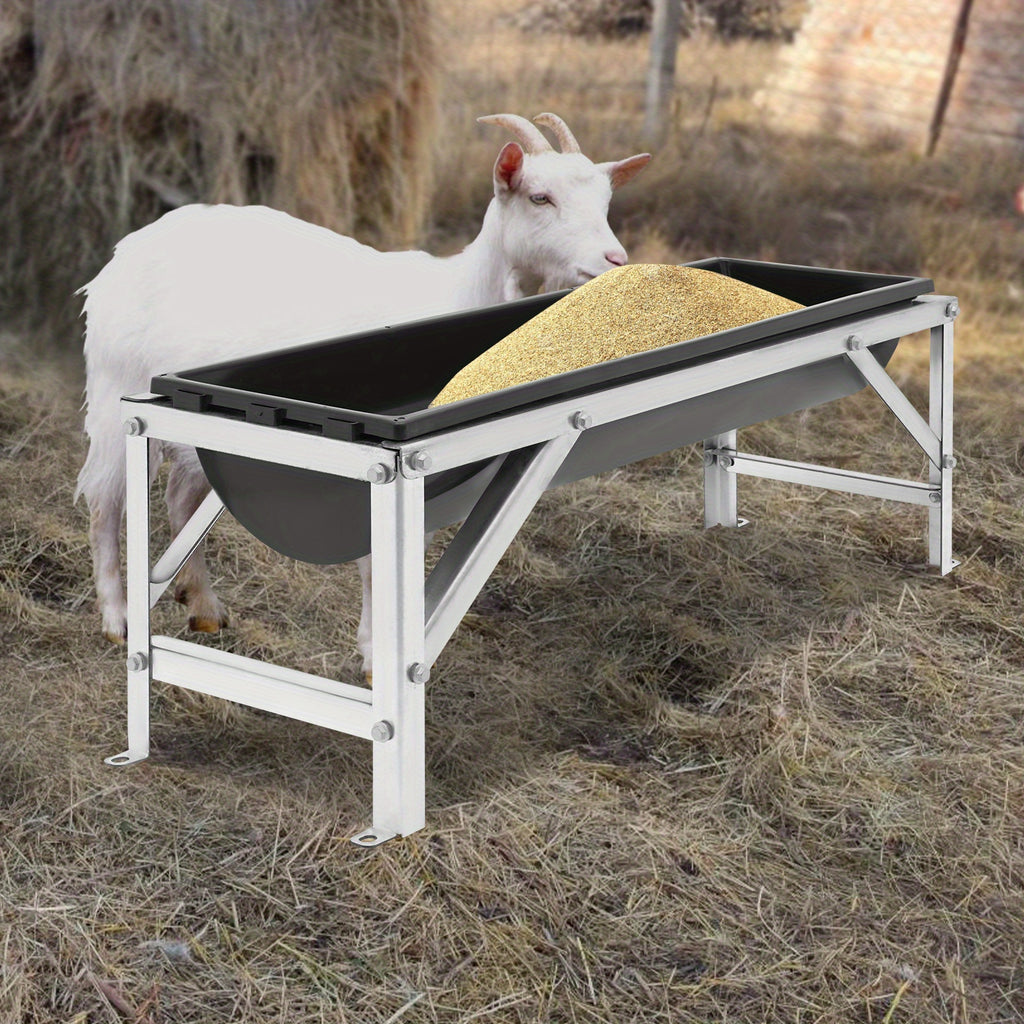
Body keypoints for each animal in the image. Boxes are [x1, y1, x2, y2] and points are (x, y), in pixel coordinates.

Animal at [76, 112, 651, 677]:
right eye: (539, 197)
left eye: (606, 202)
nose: (614, 261)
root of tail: (127, 249)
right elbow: (378, 563)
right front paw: (377, 654)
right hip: (114, 386)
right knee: (105, 497)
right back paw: (117, 618)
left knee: (179, 494)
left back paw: (203, 607)